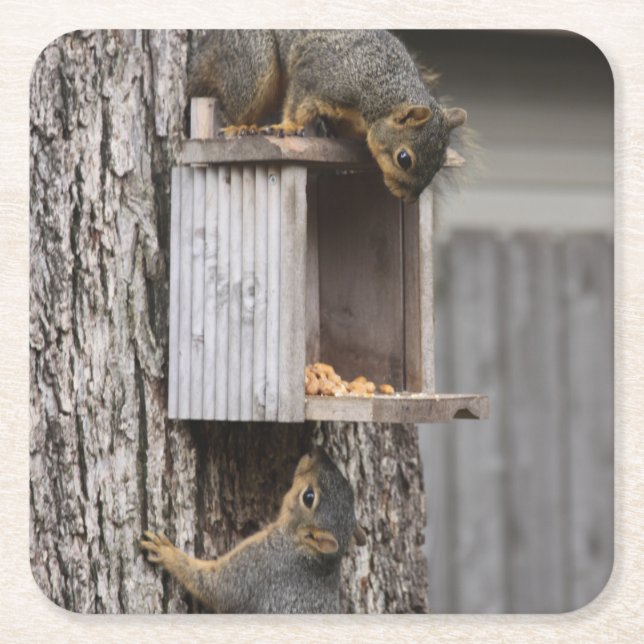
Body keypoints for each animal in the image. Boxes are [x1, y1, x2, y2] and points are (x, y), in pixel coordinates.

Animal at [140, 447, 366, 613]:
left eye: (308, 497)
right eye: (350, 489)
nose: (316, 451)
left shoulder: (258, 566)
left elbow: (215, 587)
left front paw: (166, 552)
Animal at [188, 30, 467, 202]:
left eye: (441, 162)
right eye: (404, 159)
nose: (408, 199)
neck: (381, 88)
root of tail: (211, 45)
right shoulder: (317, 77)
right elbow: (298, 102)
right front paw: (289, 126)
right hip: (254, 63)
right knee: (234, 105)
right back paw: (241, 127)